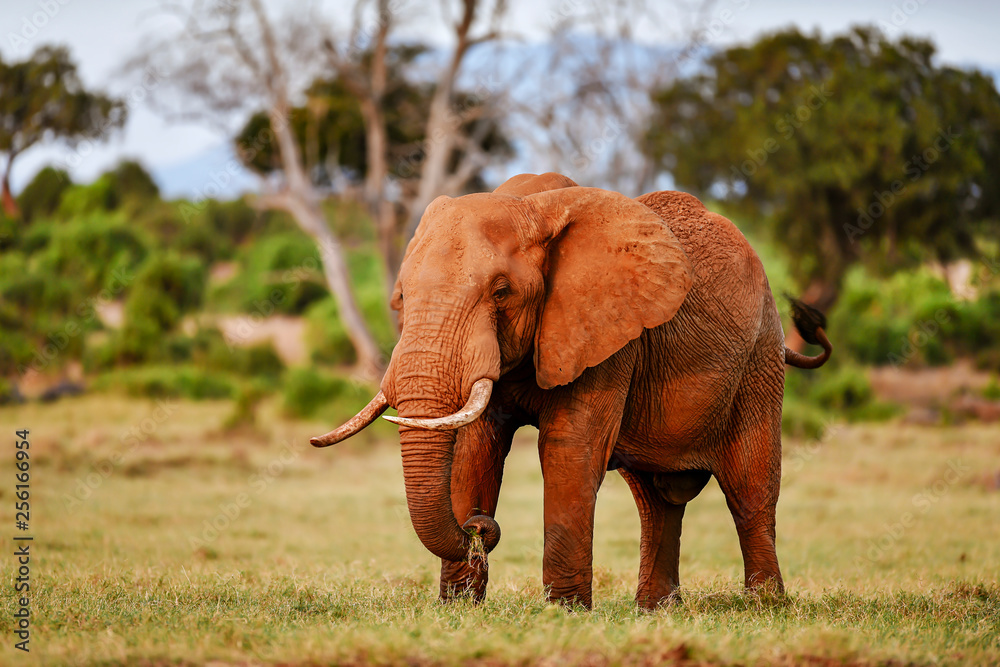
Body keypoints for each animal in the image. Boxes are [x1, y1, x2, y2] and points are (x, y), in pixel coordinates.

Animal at [311, 173, 832, 609]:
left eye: (501, 292)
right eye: (401, 297)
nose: (479, 528)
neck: (526, 203)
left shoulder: (607, 331)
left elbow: (569, 448)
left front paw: (563, 612)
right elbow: (477, 448)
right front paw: (458, 607)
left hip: (759, 359)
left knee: (749, 487)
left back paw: (765, 606)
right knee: (655, 501)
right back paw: (658, 610)